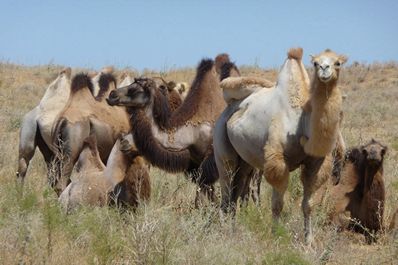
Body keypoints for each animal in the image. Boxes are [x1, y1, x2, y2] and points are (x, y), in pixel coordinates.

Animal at [213, 48, 346, 243]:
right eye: (315, 63)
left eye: (338, 63)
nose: (324, 69)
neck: (302, 122)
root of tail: (228, 108)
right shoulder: (277, 162)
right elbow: (277, 204)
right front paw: (276, 235)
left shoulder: (316, 163)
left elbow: (308, 204)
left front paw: (309, 241)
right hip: (222, 146)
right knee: (226, 188)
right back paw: (224, 231)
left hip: (244, 161)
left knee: (235, 192)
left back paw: (233, 228)